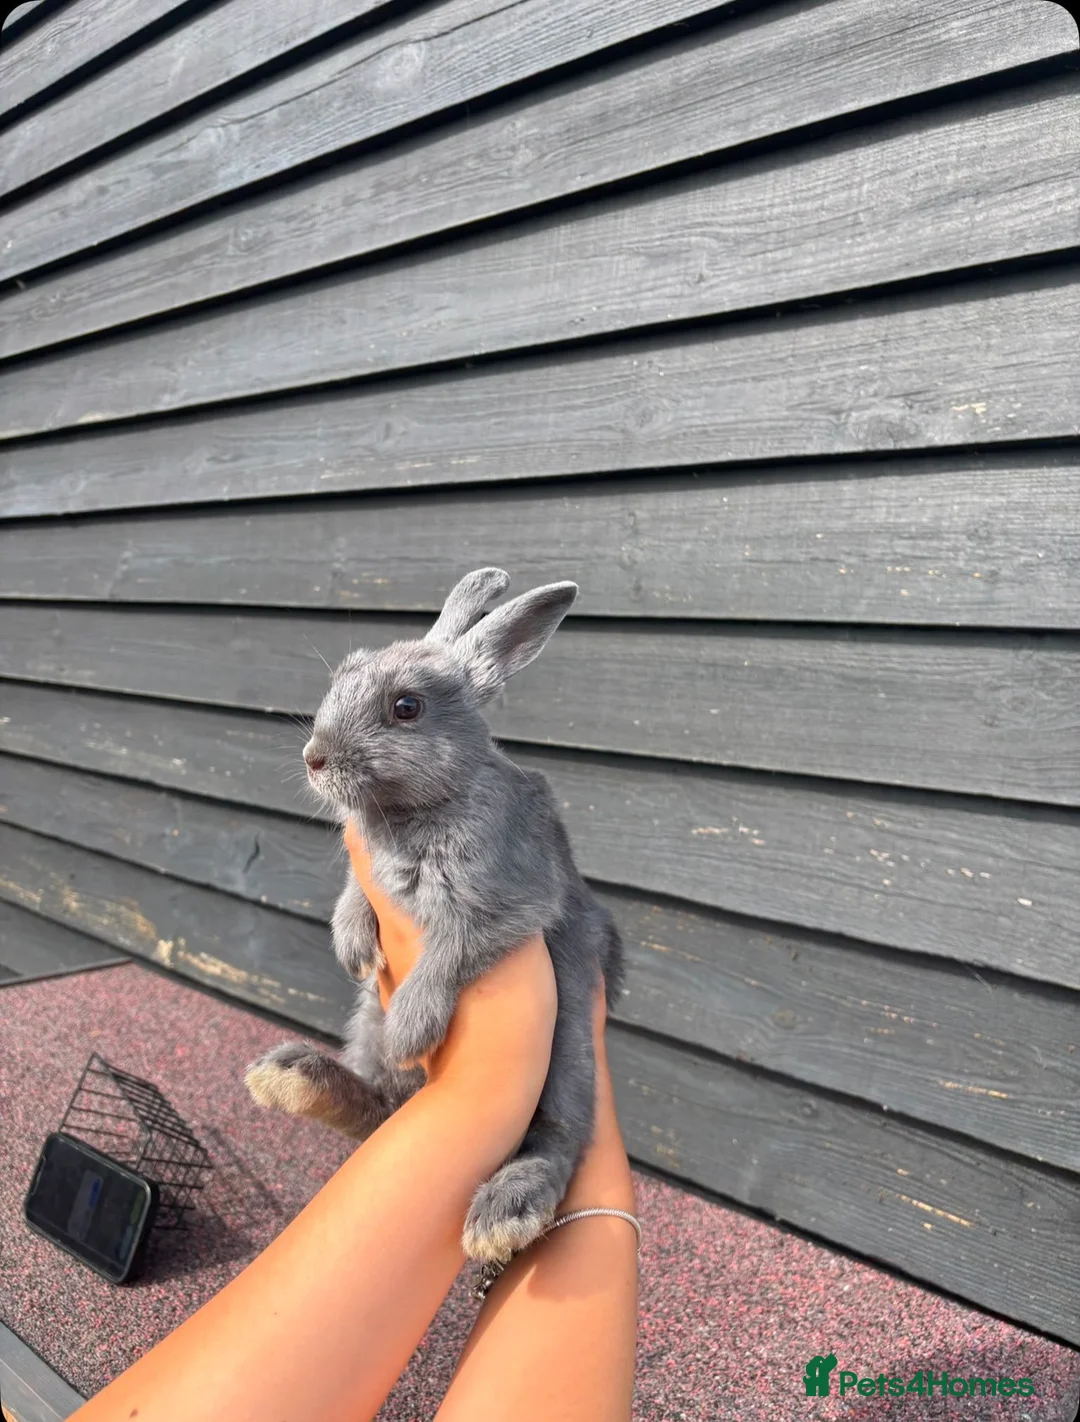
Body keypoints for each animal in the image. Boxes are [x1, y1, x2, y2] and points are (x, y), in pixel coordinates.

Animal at [245, 568, 624, 1265]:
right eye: (341, 675)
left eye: (406, 708)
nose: (314, 757)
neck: (425, 804)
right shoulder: (369, 877)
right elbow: (355, 893)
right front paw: (351, 944)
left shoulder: (508, 902)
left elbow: (449, 955)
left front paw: (412, 1030)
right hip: (363, 1020)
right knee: (380, 1108)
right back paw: (295, 1077)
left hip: (568, 1057)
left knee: (559, 1142)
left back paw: (505, 1211)